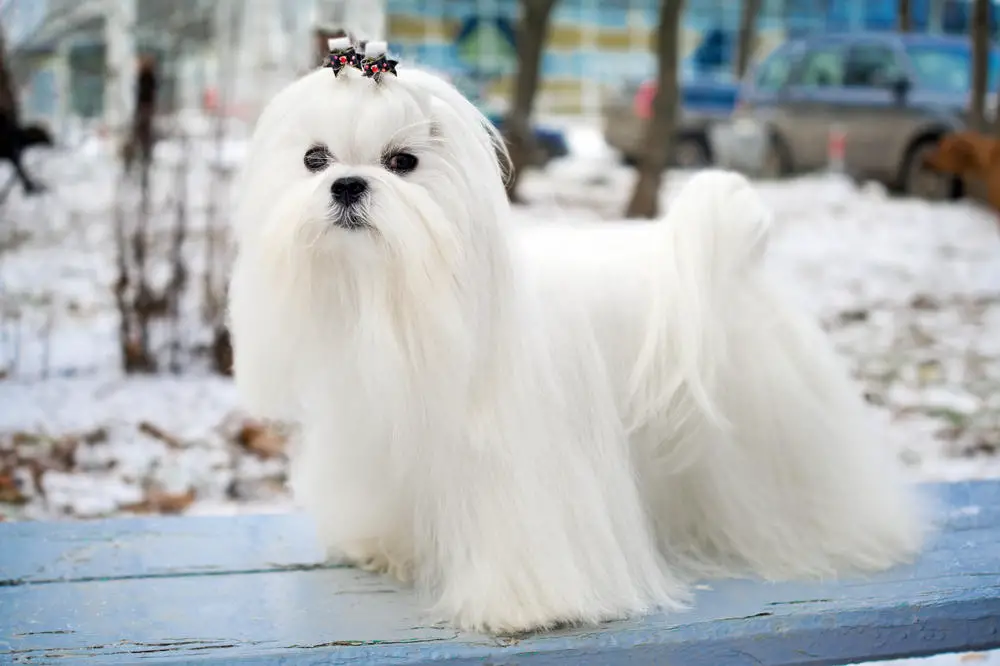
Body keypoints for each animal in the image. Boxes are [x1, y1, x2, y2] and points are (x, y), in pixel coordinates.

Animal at [225, 41, 920, 632]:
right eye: (314, 159)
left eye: (403, 163)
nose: (346, 184)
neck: (397, 295)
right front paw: (384, 547)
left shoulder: (517, 463)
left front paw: (520, 608)